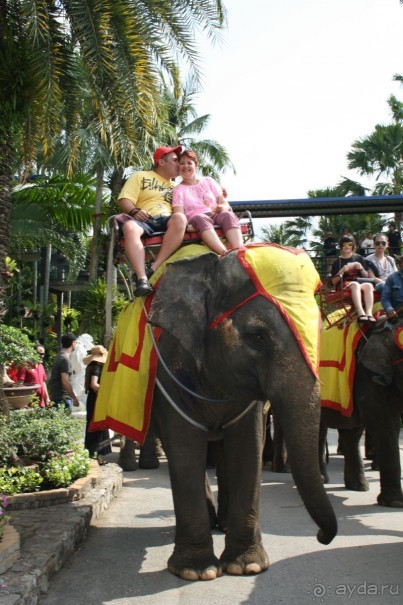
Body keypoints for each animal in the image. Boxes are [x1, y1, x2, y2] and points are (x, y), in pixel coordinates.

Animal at [144, 245, 340, 580]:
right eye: (257, 337)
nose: (320, 536)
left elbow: (248, 447)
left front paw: (246, 567)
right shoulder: (170, 372)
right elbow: (184, 447)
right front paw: (197, 572)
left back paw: (222, 525)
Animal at [318, 318, 403, 508]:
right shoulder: (369, 377)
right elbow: (385, 424)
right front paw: (394, 503)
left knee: (352, 432)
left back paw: (358, 486)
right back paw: (322, 479)